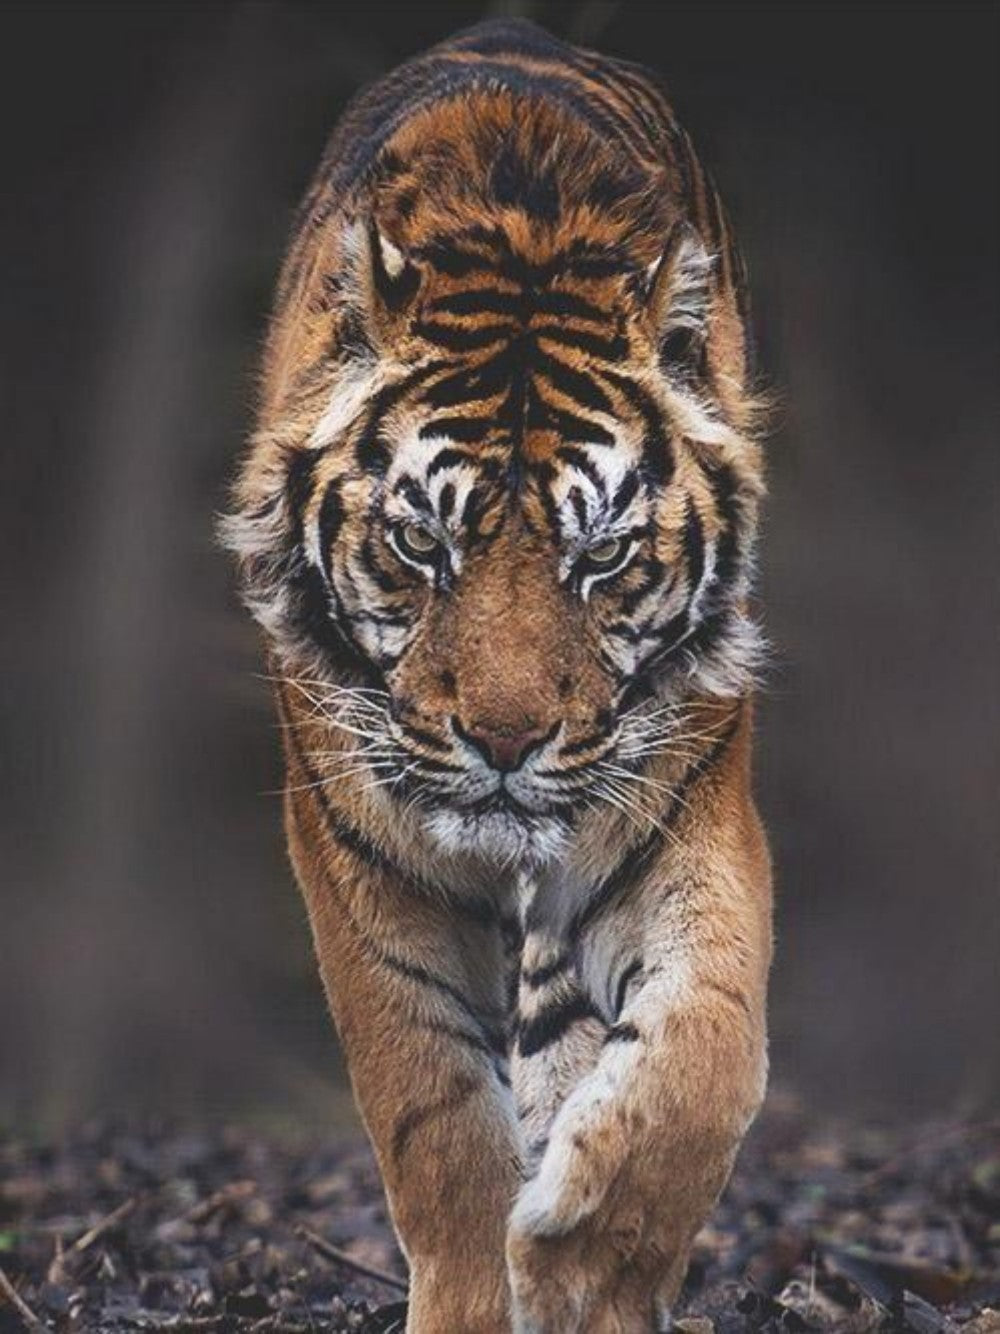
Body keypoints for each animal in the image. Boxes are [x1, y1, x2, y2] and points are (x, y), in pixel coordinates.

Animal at [224, 17, 772, 1334]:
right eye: (423, 543)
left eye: (604, 555)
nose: (508, 741)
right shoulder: (363, 852)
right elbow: (433, 1114)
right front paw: (486, 1291)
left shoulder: (679, 806)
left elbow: (704, 1050)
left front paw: (586, 1264)